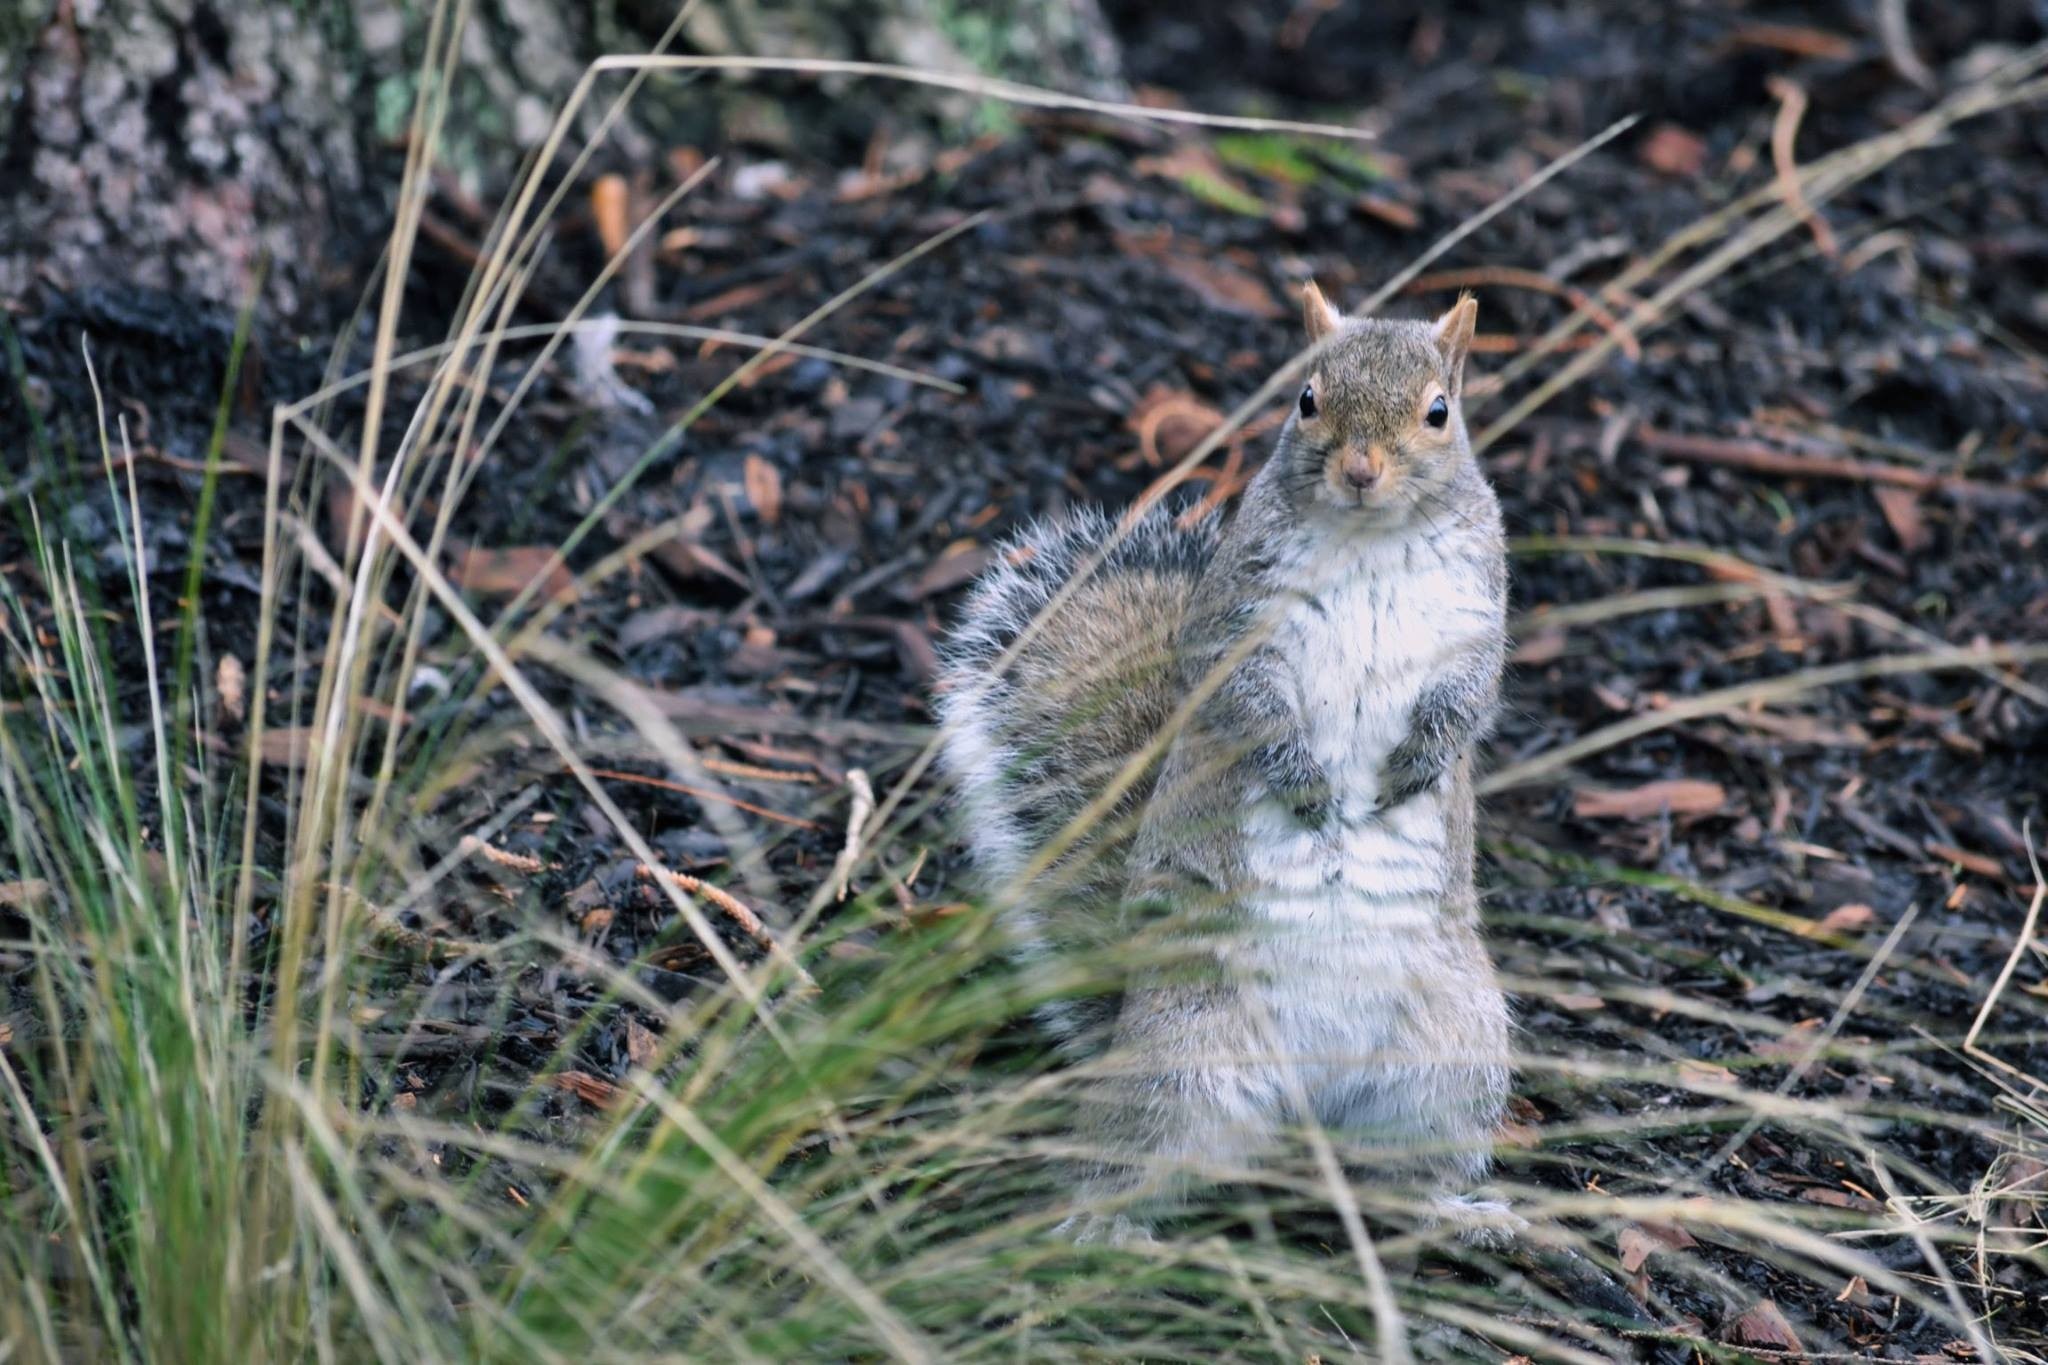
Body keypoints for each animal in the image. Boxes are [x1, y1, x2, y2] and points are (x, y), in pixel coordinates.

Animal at [937, 283, 1513, 1246]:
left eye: (1441, 412)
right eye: (1307, 399)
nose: (1362, 470)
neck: (1368, 540)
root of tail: (1307, 1104)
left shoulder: (1478, 620)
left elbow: (1468, 696)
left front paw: (1416, 764)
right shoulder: (1235, 629)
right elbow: (1249, 706)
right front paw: (1306, 785)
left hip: (1451, 1061)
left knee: (1399, 1171)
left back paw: (1458, 1212)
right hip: (1184, 1061)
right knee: (1124, 1159)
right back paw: (1109, 1231)